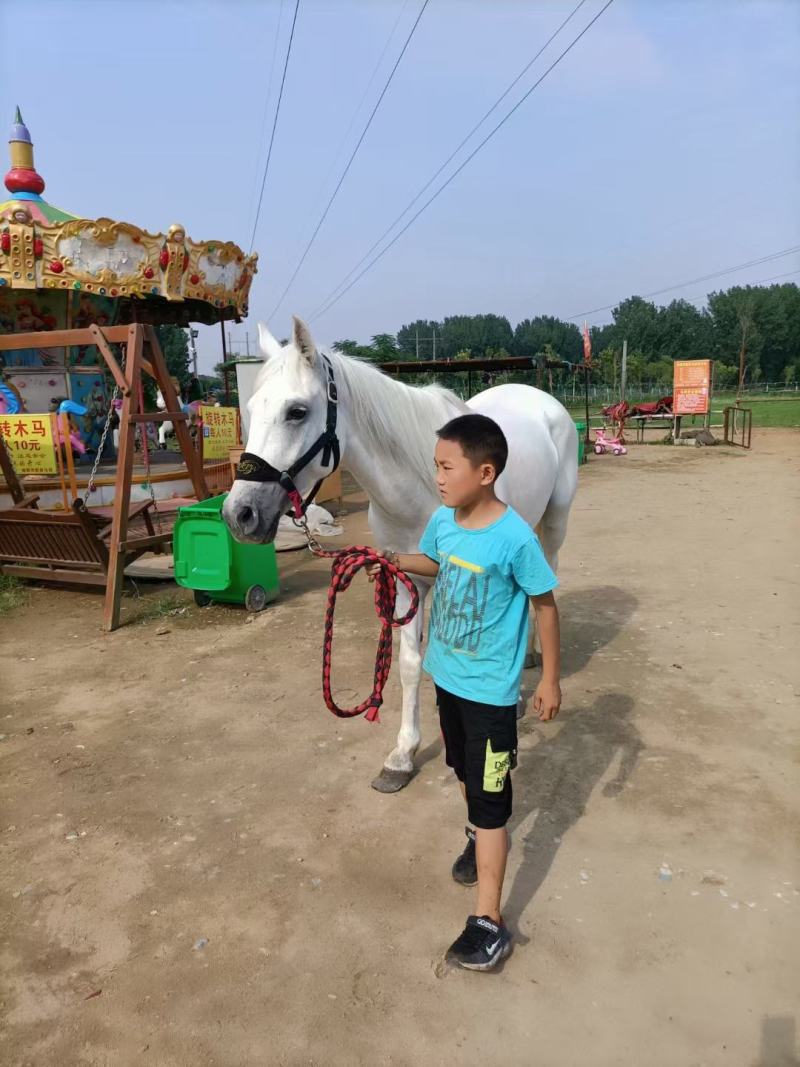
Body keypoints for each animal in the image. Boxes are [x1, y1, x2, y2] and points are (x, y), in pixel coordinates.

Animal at [223, 316, 578, 793]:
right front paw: (403, 755)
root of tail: (538, 397)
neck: (421, 480)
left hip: (555, 521)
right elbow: (410, 665)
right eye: (252, 408)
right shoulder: (407, 580)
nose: (239, 515)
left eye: (296, 411)